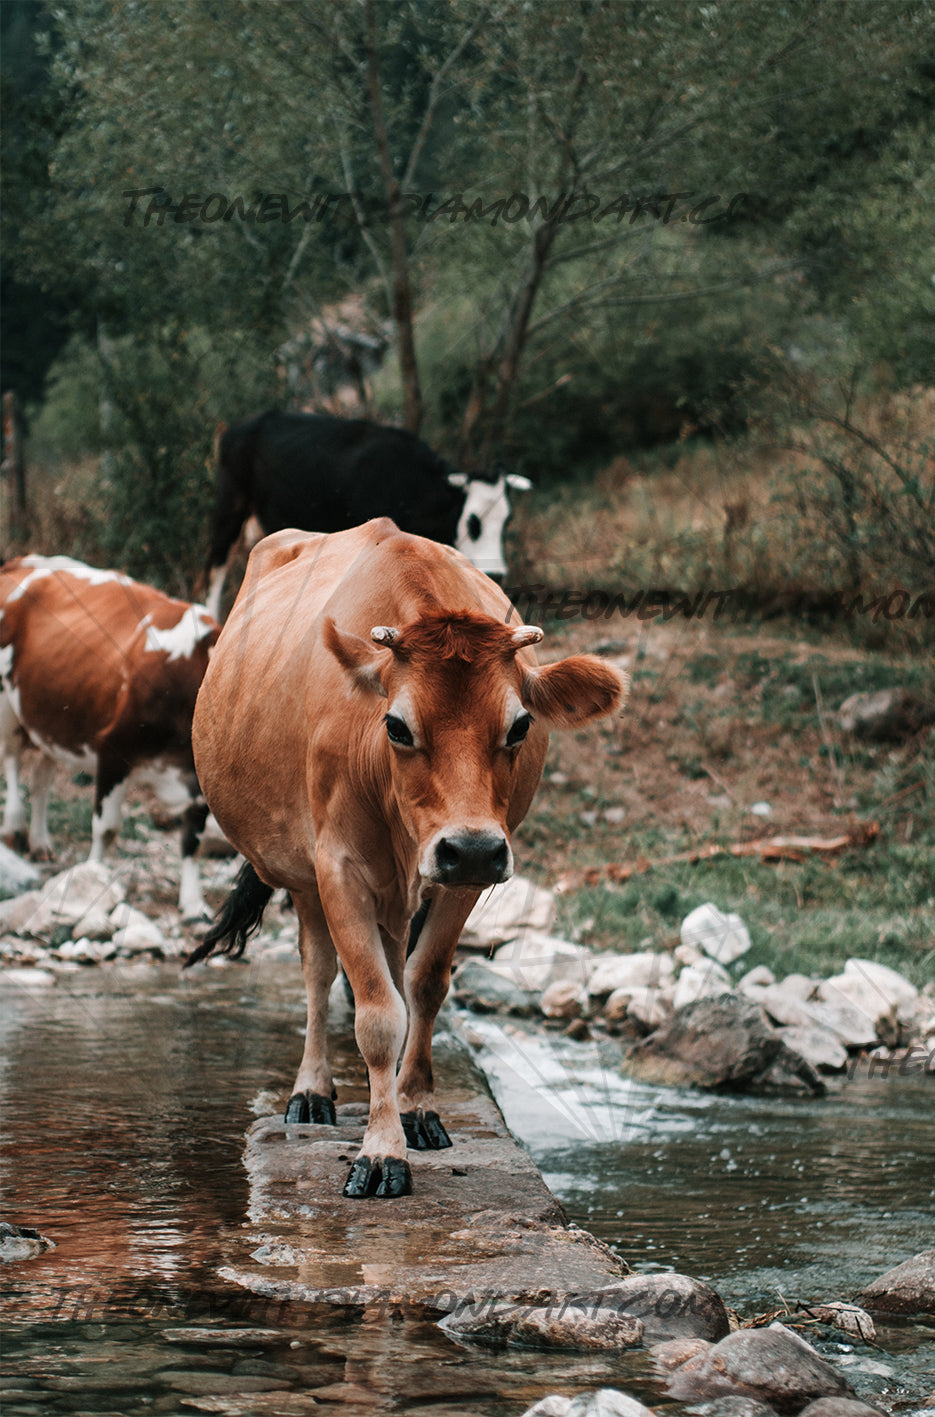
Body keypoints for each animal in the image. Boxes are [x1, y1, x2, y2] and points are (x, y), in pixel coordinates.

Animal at [0, 552, 219, 918]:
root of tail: (26, 561)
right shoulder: (114, 750)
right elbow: (107, 828)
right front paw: (94, 881)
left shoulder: (201, 782)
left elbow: (193, 839)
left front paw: (193, 902)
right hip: (7, 705)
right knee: (12, 759)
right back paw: (14, 825)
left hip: (51, 713)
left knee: (41, 776)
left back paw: (40, 841)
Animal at [188, 521, 629, 1195]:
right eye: (396, 726)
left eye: (521, 725)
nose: (470, 847)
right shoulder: (338, 868)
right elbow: (375, 1014)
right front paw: (379, 1151)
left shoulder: (464, 877)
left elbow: (423, 985)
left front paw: (415, 1108)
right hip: (302, 873)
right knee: (318, 970)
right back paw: (312, 1092)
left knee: (396, 964)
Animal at [202, 405, 532, 614]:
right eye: (473, 522)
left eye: (507, 521)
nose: (496, 574)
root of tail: (238, 427)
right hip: (229, 509)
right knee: (216, 569)